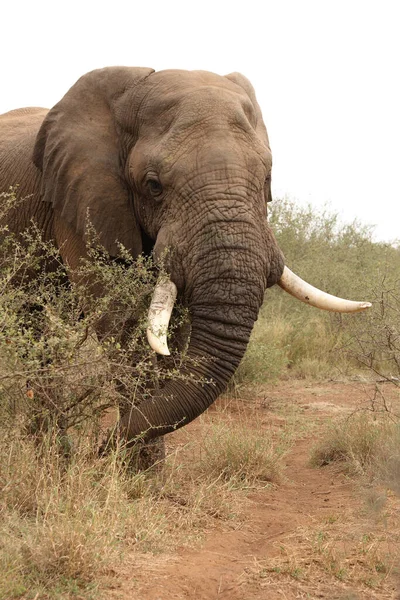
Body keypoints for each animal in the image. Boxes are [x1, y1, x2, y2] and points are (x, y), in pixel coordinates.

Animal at [0, 68, 370, 448]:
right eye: (153, 185)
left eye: (267, 178)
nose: (101, 445)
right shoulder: (81, 202)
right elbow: (121, 324)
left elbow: (172, 337)